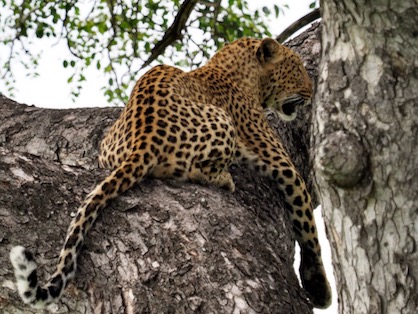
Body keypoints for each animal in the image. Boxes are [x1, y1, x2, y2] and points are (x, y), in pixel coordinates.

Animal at [9, 37, 332, 310]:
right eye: (297, 68)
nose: (311, 92)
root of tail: (144, 141)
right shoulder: (280, 162)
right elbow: (308, 227)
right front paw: (320, 287)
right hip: (221, 120)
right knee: (196, 170)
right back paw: (223, 178)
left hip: (107, 147)